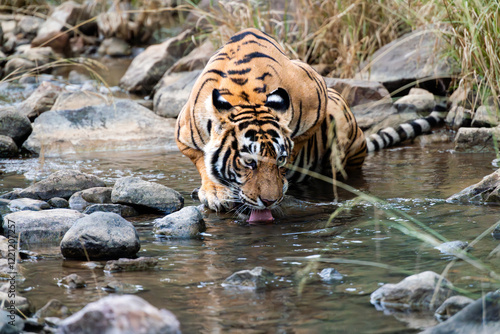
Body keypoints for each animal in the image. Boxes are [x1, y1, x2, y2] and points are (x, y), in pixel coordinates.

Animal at [176, 28, 368, 222]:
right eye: (249, 161)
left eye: (280, 159)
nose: (270, 201)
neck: (245, 97)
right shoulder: (184, 136)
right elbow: (202, 160)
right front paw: (216, 192)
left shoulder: (317, 94)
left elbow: (296, 144)